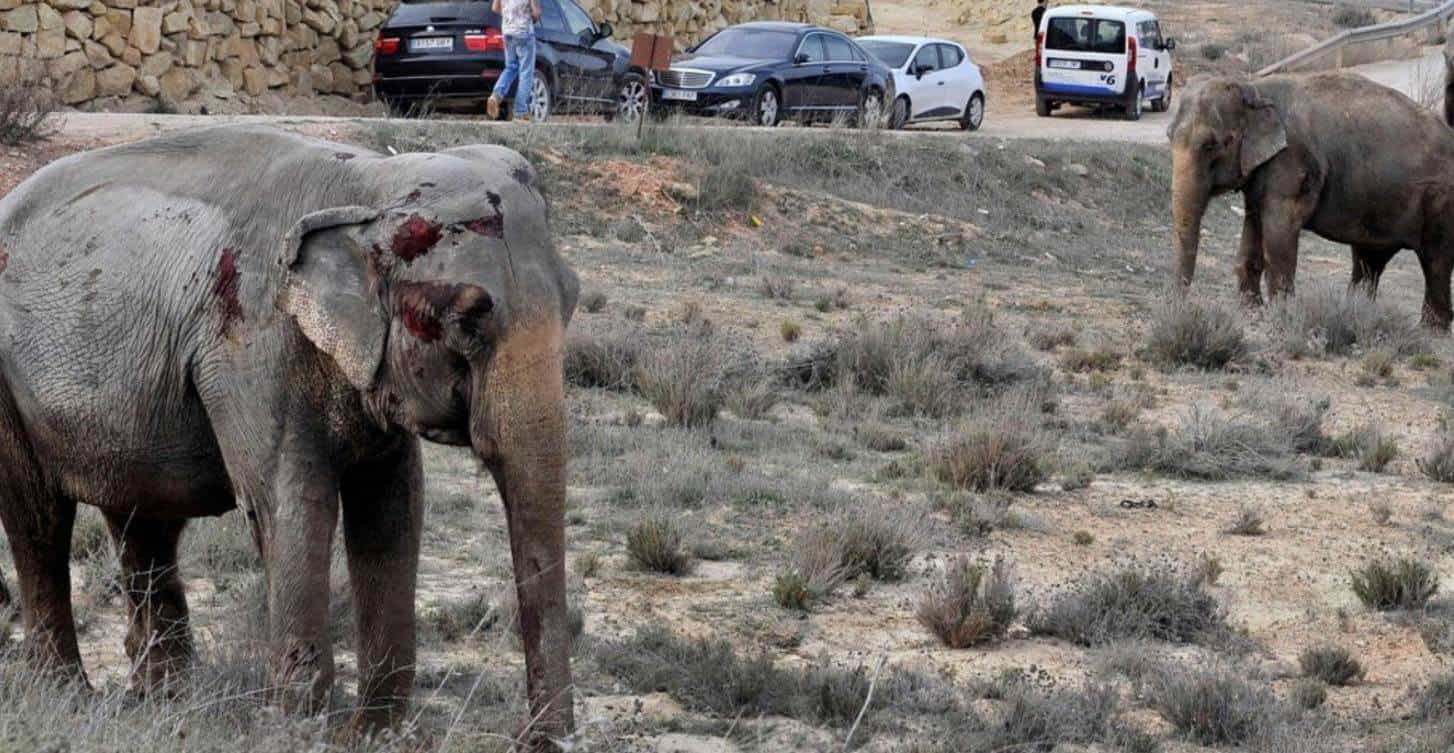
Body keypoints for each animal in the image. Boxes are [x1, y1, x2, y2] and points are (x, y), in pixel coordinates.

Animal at [1169, 73, 1454, 331]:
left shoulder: (1291, 164)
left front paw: (1281, 316)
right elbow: (1253, 225)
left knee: (1436, 261)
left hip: (1441, 201)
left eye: (1210, 145)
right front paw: (1250, 311)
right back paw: (1358, 314)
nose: (1184, 309)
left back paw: (1431, 330)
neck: (1254, 88)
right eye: (1169, 136)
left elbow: (1279, 233)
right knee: (1369, 260)